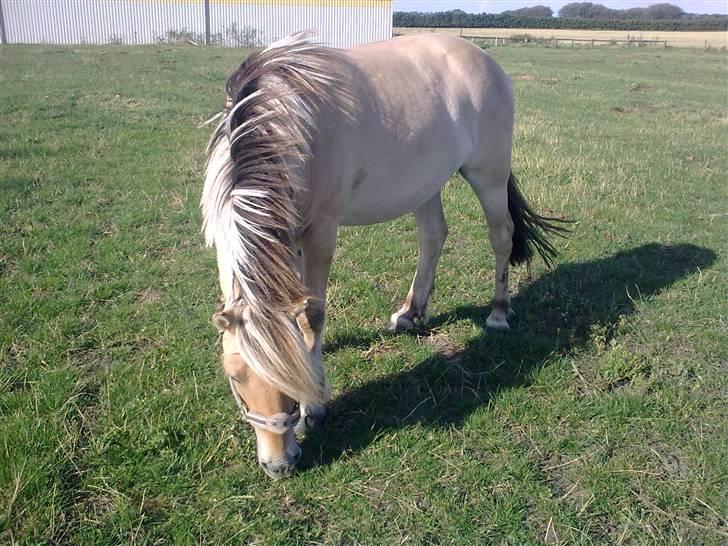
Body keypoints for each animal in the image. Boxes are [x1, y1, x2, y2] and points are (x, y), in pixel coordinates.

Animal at [200, 31, 568, 478]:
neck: (282, 121)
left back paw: (498, 313)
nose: (279, 465)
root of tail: (483, 58)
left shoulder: (321, 230)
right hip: (425, 182)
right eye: (235, 377)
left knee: (501, 236)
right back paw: (411, 313)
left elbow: (311, 315)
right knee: (433, 236)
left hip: (489, 174)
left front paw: (315, 405)